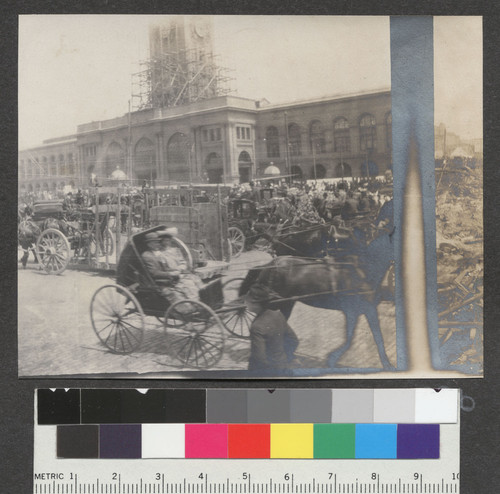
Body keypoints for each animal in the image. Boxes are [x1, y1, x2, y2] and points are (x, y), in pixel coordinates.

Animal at [240, 233, 396, 370]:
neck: (361, 270)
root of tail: (270, 264)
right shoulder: (362, 310)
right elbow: (372, 337)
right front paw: (387, 364)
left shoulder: (358, 311)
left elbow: (353, 337)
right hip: (280, 303)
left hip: (287, 303)